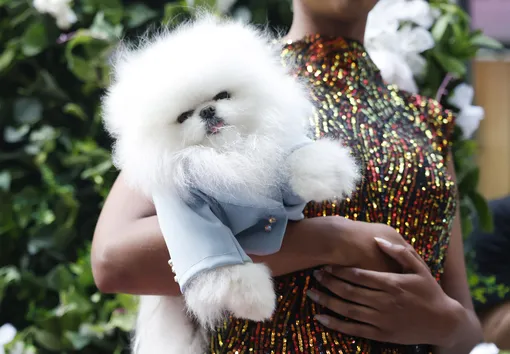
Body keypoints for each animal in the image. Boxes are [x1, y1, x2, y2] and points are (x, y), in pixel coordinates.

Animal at [101, 12, 358, 352]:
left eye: (222, 95)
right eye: (183, 116)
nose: (207, 111)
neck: (225, 156)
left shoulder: (268, 159)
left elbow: (293, 161)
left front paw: (329, 170)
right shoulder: (188, 215)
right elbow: (225, 269)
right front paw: (257, 302)